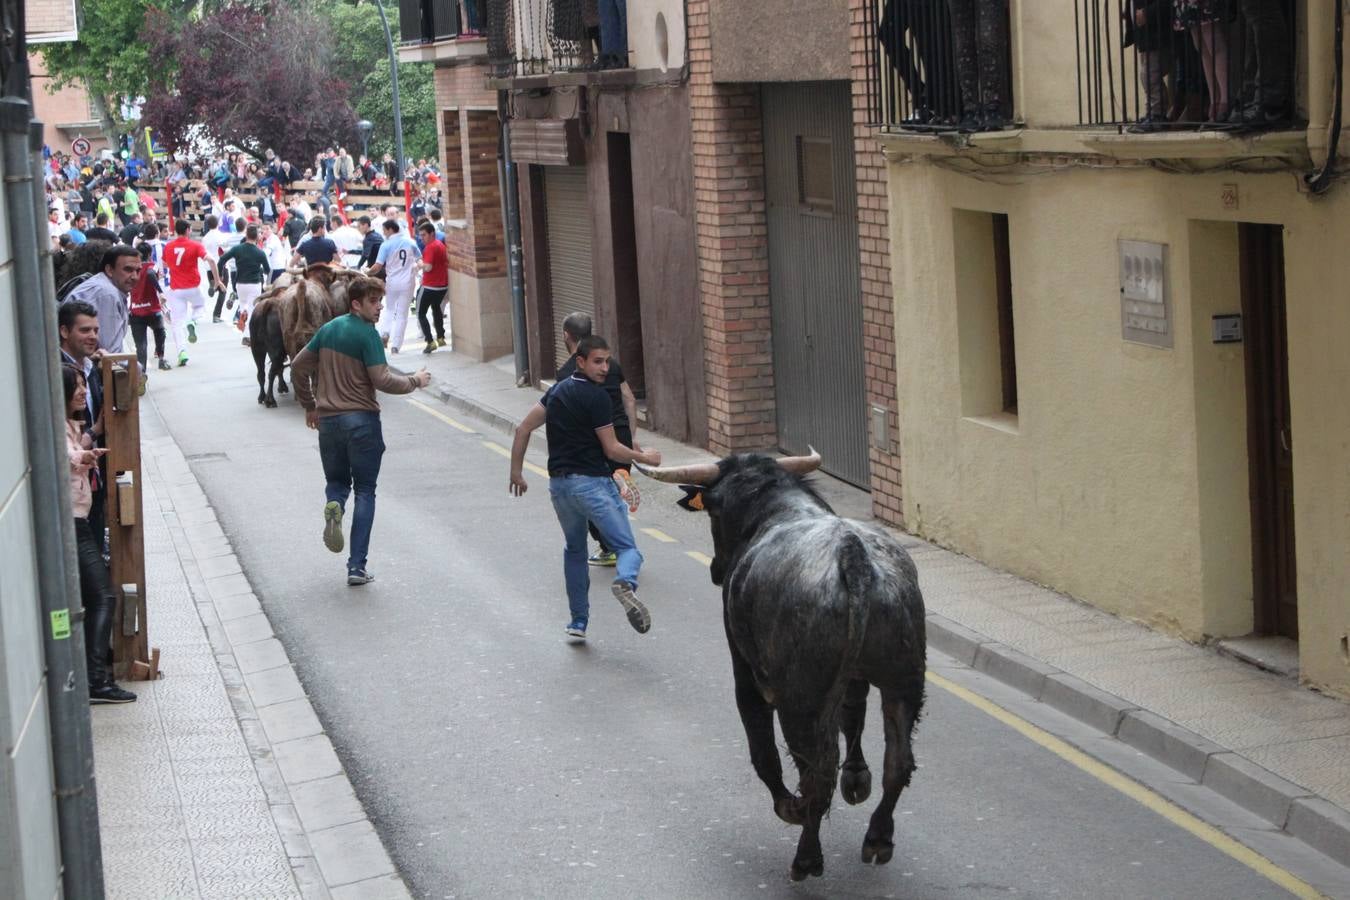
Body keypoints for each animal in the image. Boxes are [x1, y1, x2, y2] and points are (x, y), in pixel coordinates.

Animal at [637, 447, 923, 879]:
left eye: (714, 514)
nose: (716, 571)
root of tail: (852, 557)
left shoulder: (745, 672)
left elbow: (764, 751)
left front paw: (791, 807)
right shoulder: (854, 677)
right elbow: (853, 716)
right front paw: (856, 780)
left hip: (800, 700)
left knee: (816, 768)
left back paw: (806, 851)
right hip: (903, 682)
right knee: (897, 761)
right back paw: (877, 838)